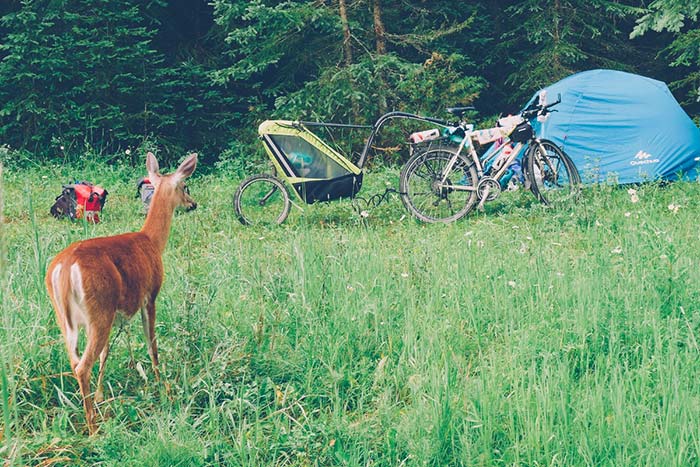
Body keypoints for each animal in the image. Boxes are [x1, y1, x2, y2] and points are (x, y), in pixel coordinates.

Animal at [44, 154, 197, 436]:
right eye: (184, 187)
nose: (193, 204)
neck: (151, 241)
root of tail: (65, 268)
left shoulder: (117, 314)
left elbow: (106, 354)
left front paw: (101, 395)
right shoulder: (150, 295)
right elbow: (151, 344)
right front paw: (161, 384)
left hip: (69, 318)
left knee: (75, 361)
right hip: (98, 310)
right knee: (82, 366)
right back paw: (93, 428)